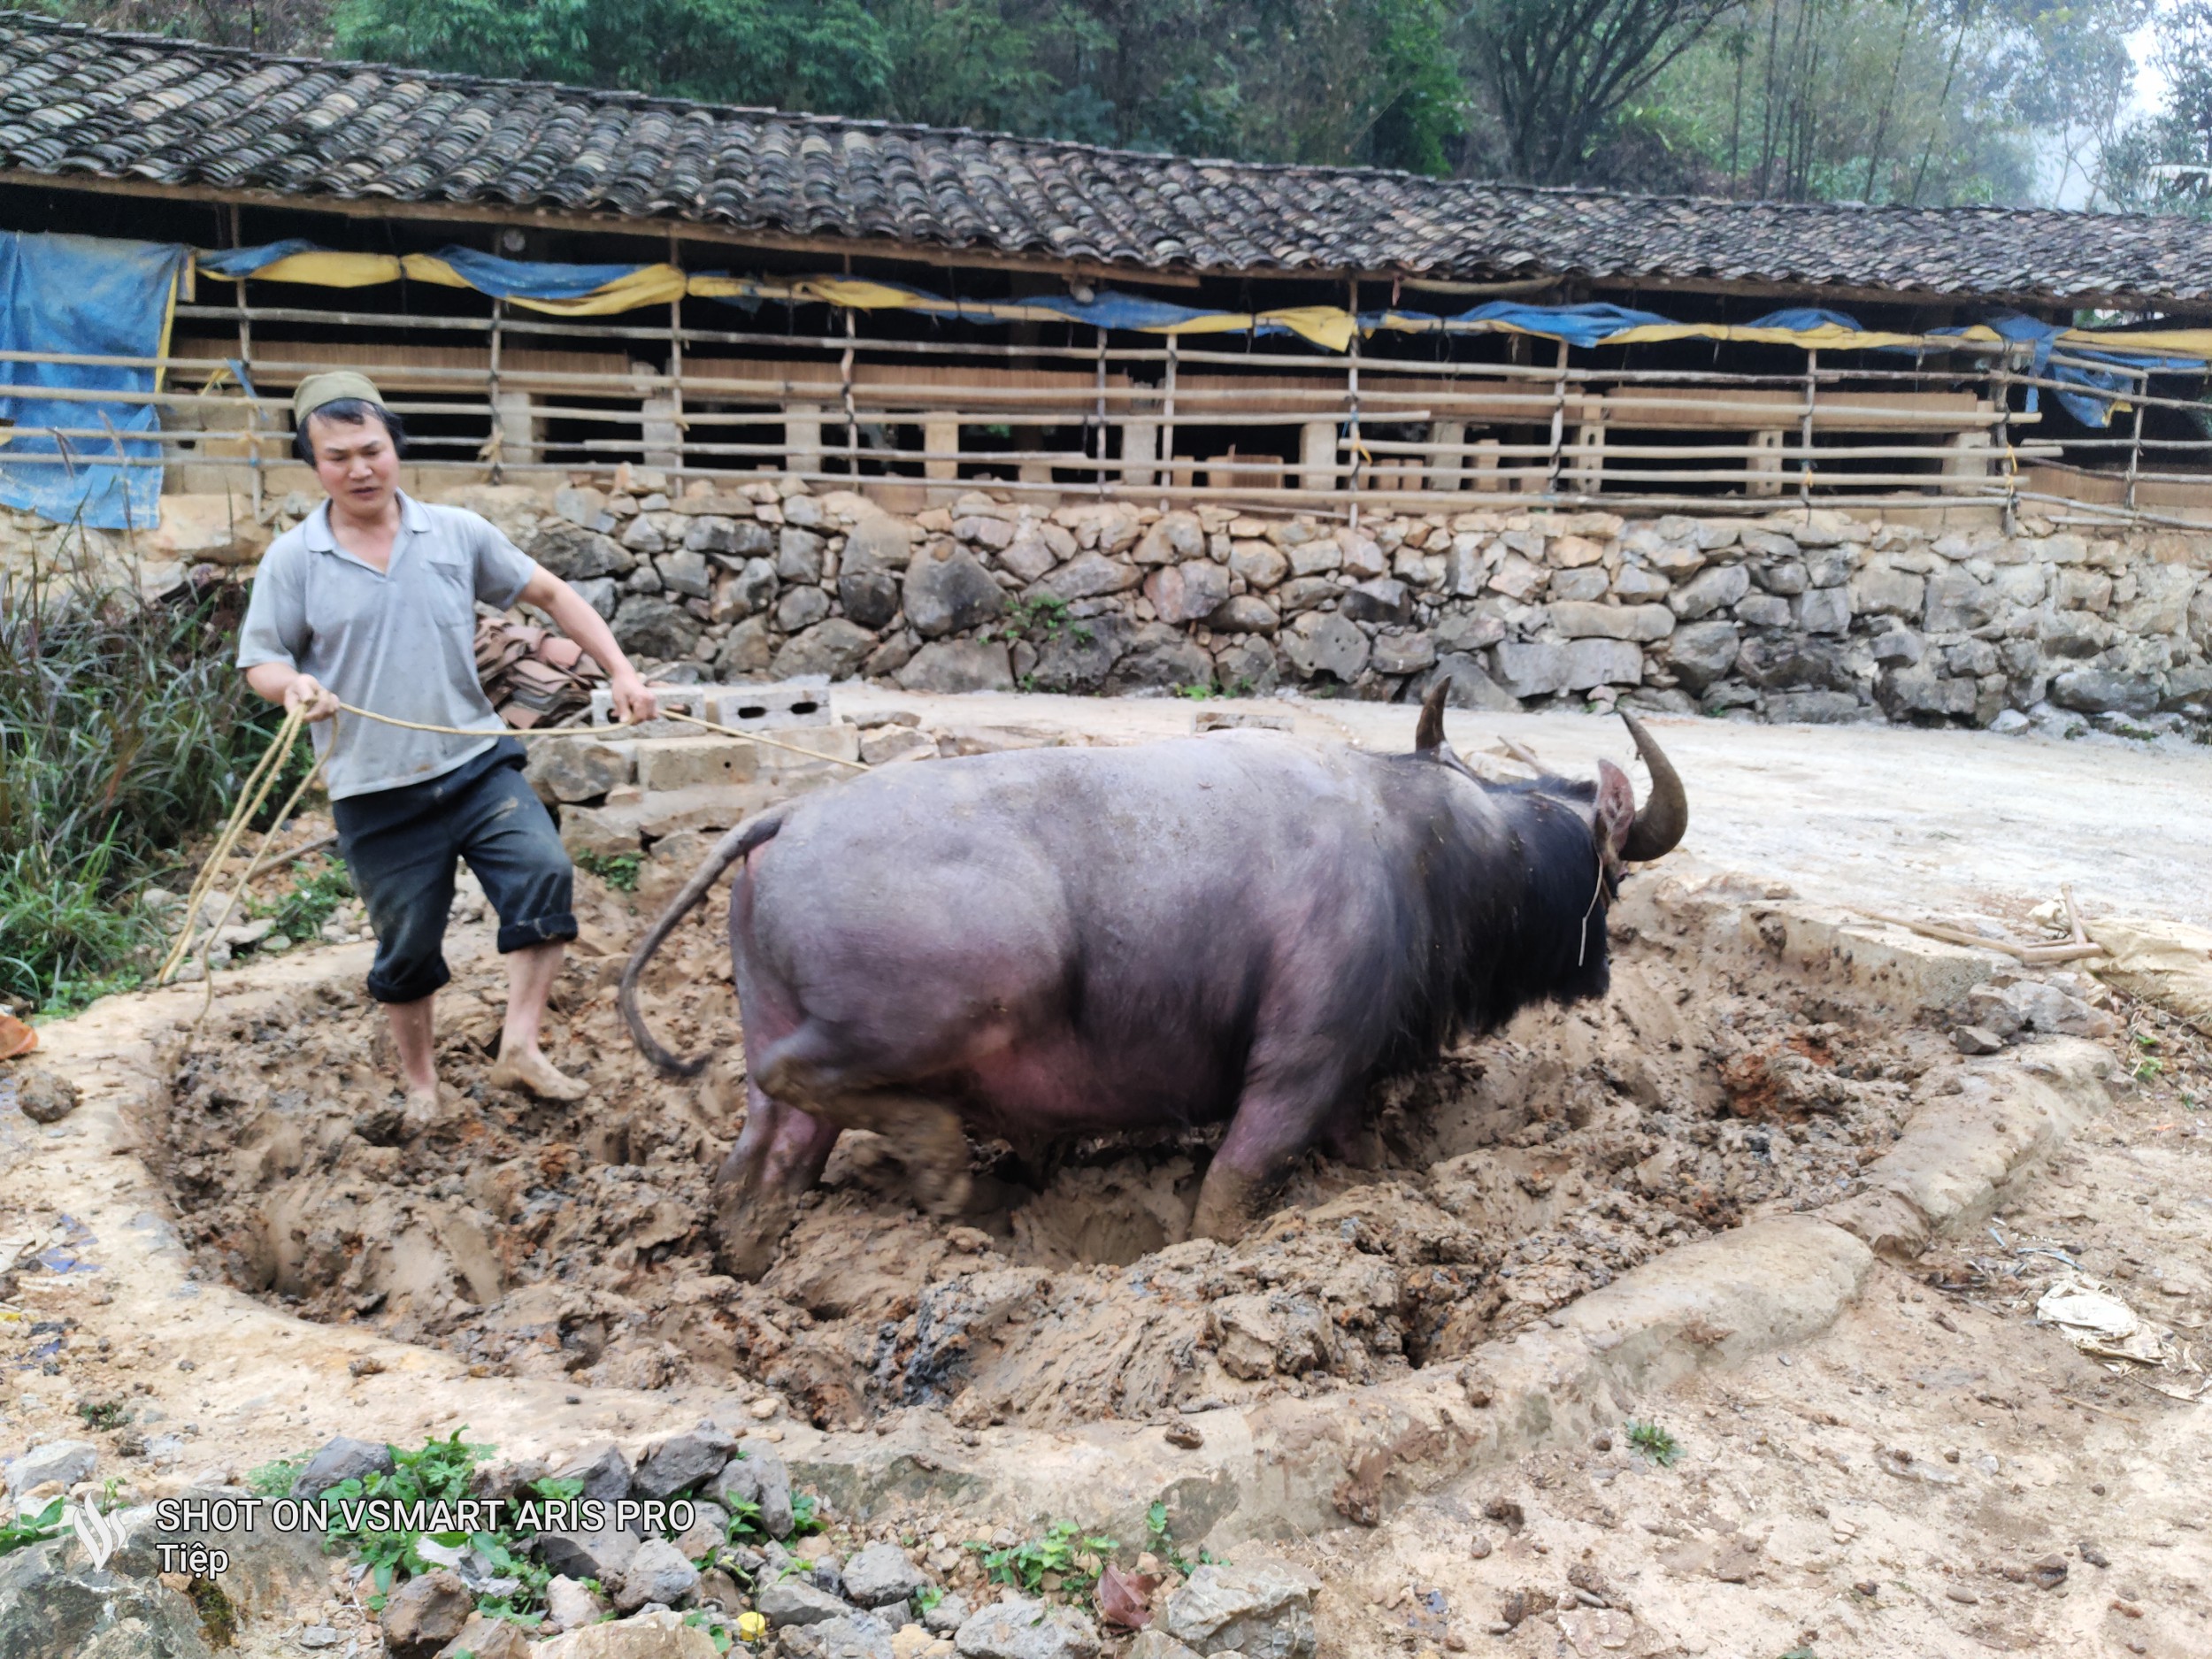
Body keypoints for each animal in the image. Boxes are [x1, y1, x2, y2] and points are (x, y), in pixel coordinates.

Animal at [624, 695, 1690, 1283]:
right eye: (1613, 881)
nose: (1602, 970)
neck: (1428, 849)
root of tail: (785, 819)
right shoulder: (1298, 1064)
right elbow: (1232, 1187)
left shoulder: (1349, 1075)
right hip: (960, 997)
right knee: (805, 1076)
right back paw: (942, 1165)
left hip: (774, 1055)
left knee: (762, 1158)